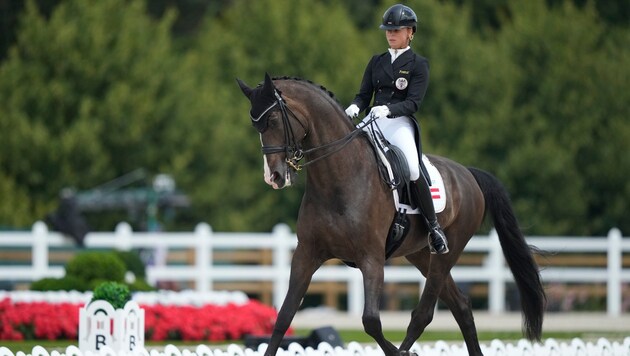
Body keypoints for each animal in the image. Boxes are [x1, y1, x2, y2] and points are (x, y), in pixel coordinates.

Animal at [238, 73, 548, 356]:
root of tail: (468, 174)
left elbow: (371, 321)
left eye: (273, 120)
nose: (274, 177)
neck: (338, 179)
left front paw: (398, 352)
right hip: (421, 255)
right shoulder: (307, 253)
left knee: (423, 314)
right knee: (460, 306)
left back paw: (406, 350)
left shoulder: (371, 258)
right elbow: (284, 316)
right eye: (255, 125)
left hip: (447, 251)